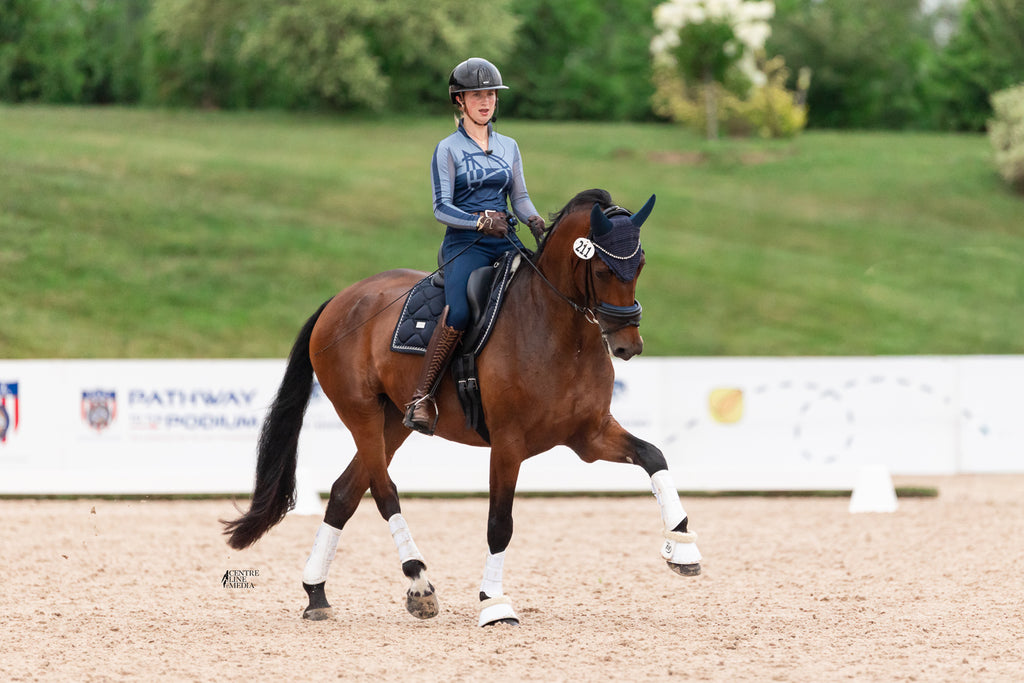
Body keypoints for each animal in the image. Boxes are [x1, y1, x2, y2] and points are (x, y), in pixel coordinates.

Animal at [222, 188, 701, 627]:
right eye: (602, 269)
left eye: (640, 265)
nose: (628, 345)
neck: (558, 331)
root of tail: (341, 299)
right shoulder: (508, 444)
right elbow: (499, 523)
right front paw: (494, 603)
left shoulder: (590, 435)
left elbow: (653, 455)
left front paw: (682, 547)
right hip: (361, 413)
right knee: (383, 490)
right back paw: (418, 584)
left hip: (395, 421)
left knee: (344, 493)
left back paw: (316, 593)